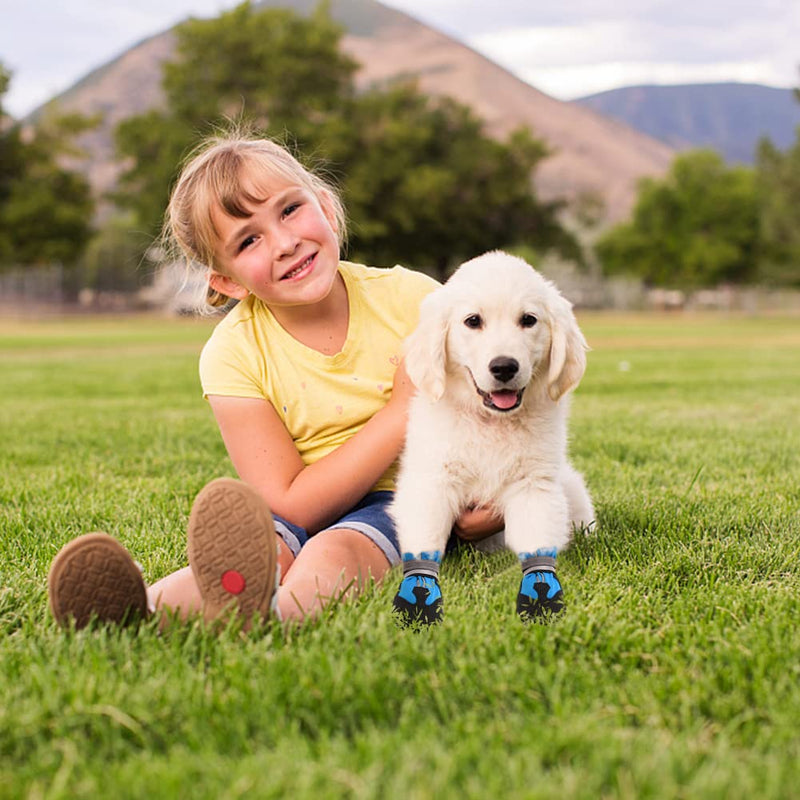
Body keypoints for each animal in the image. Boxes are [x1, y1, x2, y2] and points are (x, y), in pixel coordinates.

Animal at [390, 250, 592, 624]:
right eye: (473, 321)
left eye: (528, 320)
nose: (504, 367)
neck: (492, 423)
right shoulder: (431, 482)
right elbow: (425, 541)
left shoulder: (534, 486)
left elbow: (537, 547)